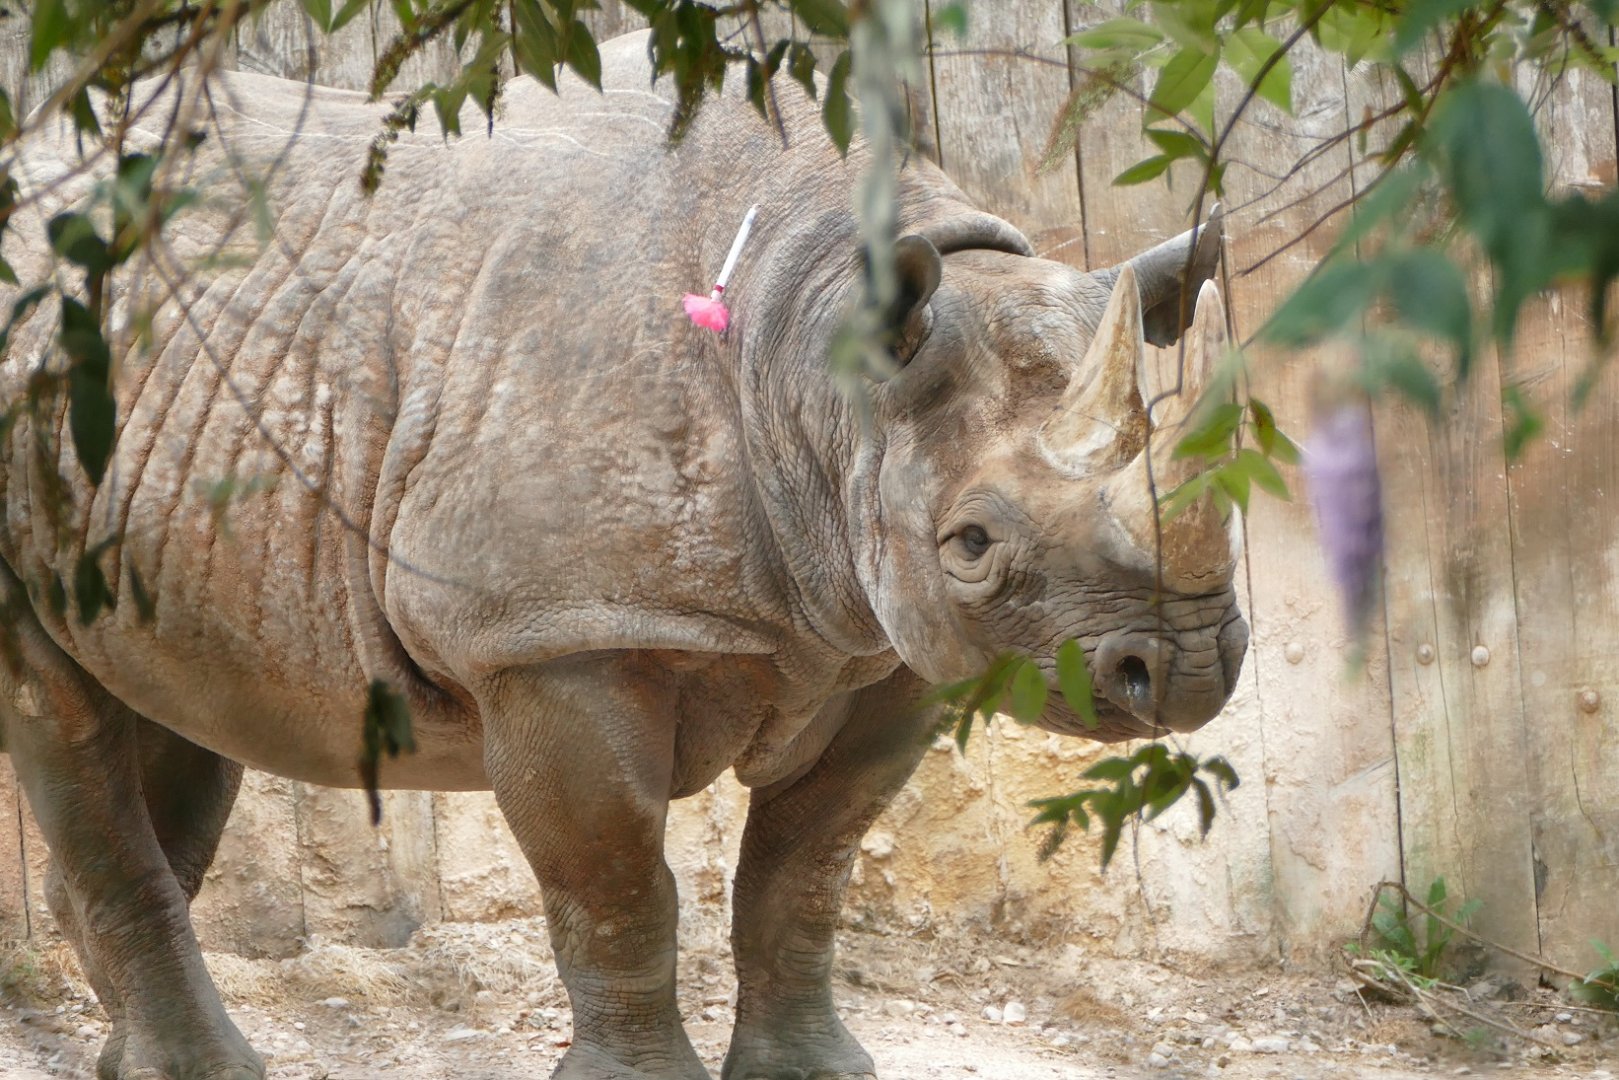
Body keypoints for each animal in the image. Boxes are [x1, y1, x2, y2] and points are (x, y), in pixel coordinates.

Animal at [0, 30, 1247, 1080]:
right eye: (971, 543)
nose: (1183, 668)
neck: (811, 344)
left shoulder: (882, 645)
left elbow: (803, 874)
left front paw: (810, 1072)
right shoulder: (554, 635)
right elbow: (617, 887)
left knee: (176, 700)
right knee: (65, 713)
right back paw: (198, 1066)